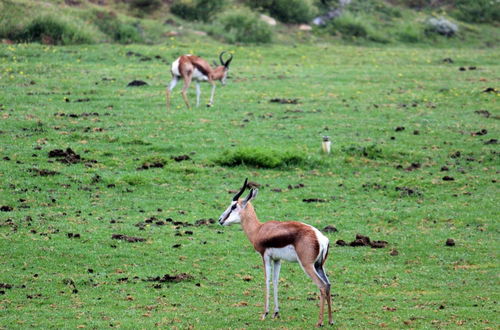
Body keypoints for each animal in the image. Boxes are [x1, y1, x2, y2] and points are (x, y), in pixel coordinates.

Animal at [218, 179, 332, 326]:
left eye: (233, 206)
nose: (220, 220)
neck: (259, 230)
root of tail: (321, 238)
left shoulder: (265, 256)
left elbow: (267, 280)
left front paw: (265, 313)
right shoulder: (277, 259)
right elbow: (276, 281)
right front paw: (276, 313)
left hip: (307, 265)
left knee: (322, 286)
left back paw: (320, 322)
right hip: (319, 265)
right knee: (328, 284)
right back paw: (330, 321)